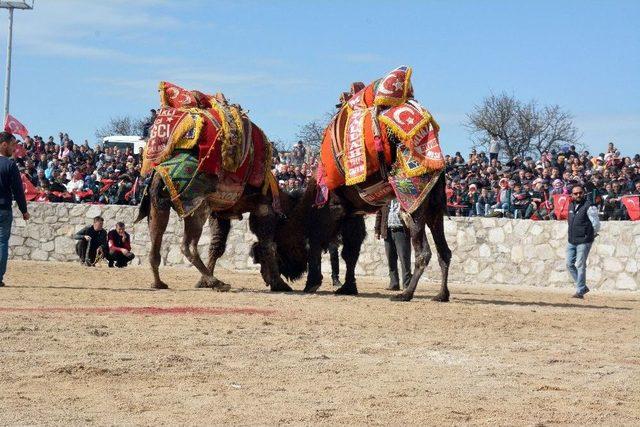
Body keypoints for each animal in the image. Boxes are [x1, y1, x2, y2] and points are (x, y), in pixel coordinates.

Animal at [139, 82, 294, 292]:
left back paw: (159, 282)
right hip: (196, 205)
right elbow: (268, 244)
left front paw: (202, 281)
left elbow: (216, 244)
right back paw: (217, 282)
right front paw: (279, 283)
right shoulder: (264, 207)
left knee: (156, 241)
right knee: (187, 245)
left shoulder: (219, 212)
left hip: (159, 202)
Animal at [274, 66, 450, 300]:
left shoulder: (332, 208)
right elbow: (350, 252)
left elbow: (317, 242)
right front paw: (348, 287)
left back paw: (405, 294)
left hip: (414, 202)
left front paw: (312, 283)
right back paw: (442, 294)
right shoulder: (352, 212)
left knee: (424, 252)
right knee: (444, 252)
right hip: (435, 207)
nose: (284, 271)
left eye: (279, 244)